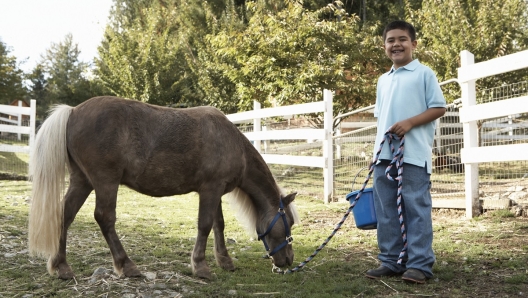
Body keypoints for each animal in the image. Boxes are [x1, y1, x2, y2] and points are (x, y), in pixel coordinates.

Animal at [28, 96, 300, 280]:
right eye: (289, 222)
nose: (288, 260)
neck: (231, 141)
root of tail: (73, 111)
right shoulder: (210, 189)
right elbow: (205, 225)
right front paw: (201, 266)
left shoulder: (215, 192)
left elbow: (218, 225)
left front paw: (225, 261)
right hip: (105, 181)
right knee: (104, 218)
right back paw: (127, 265)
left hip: (82, 181)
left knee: (65, 215)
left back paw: (62, 266)